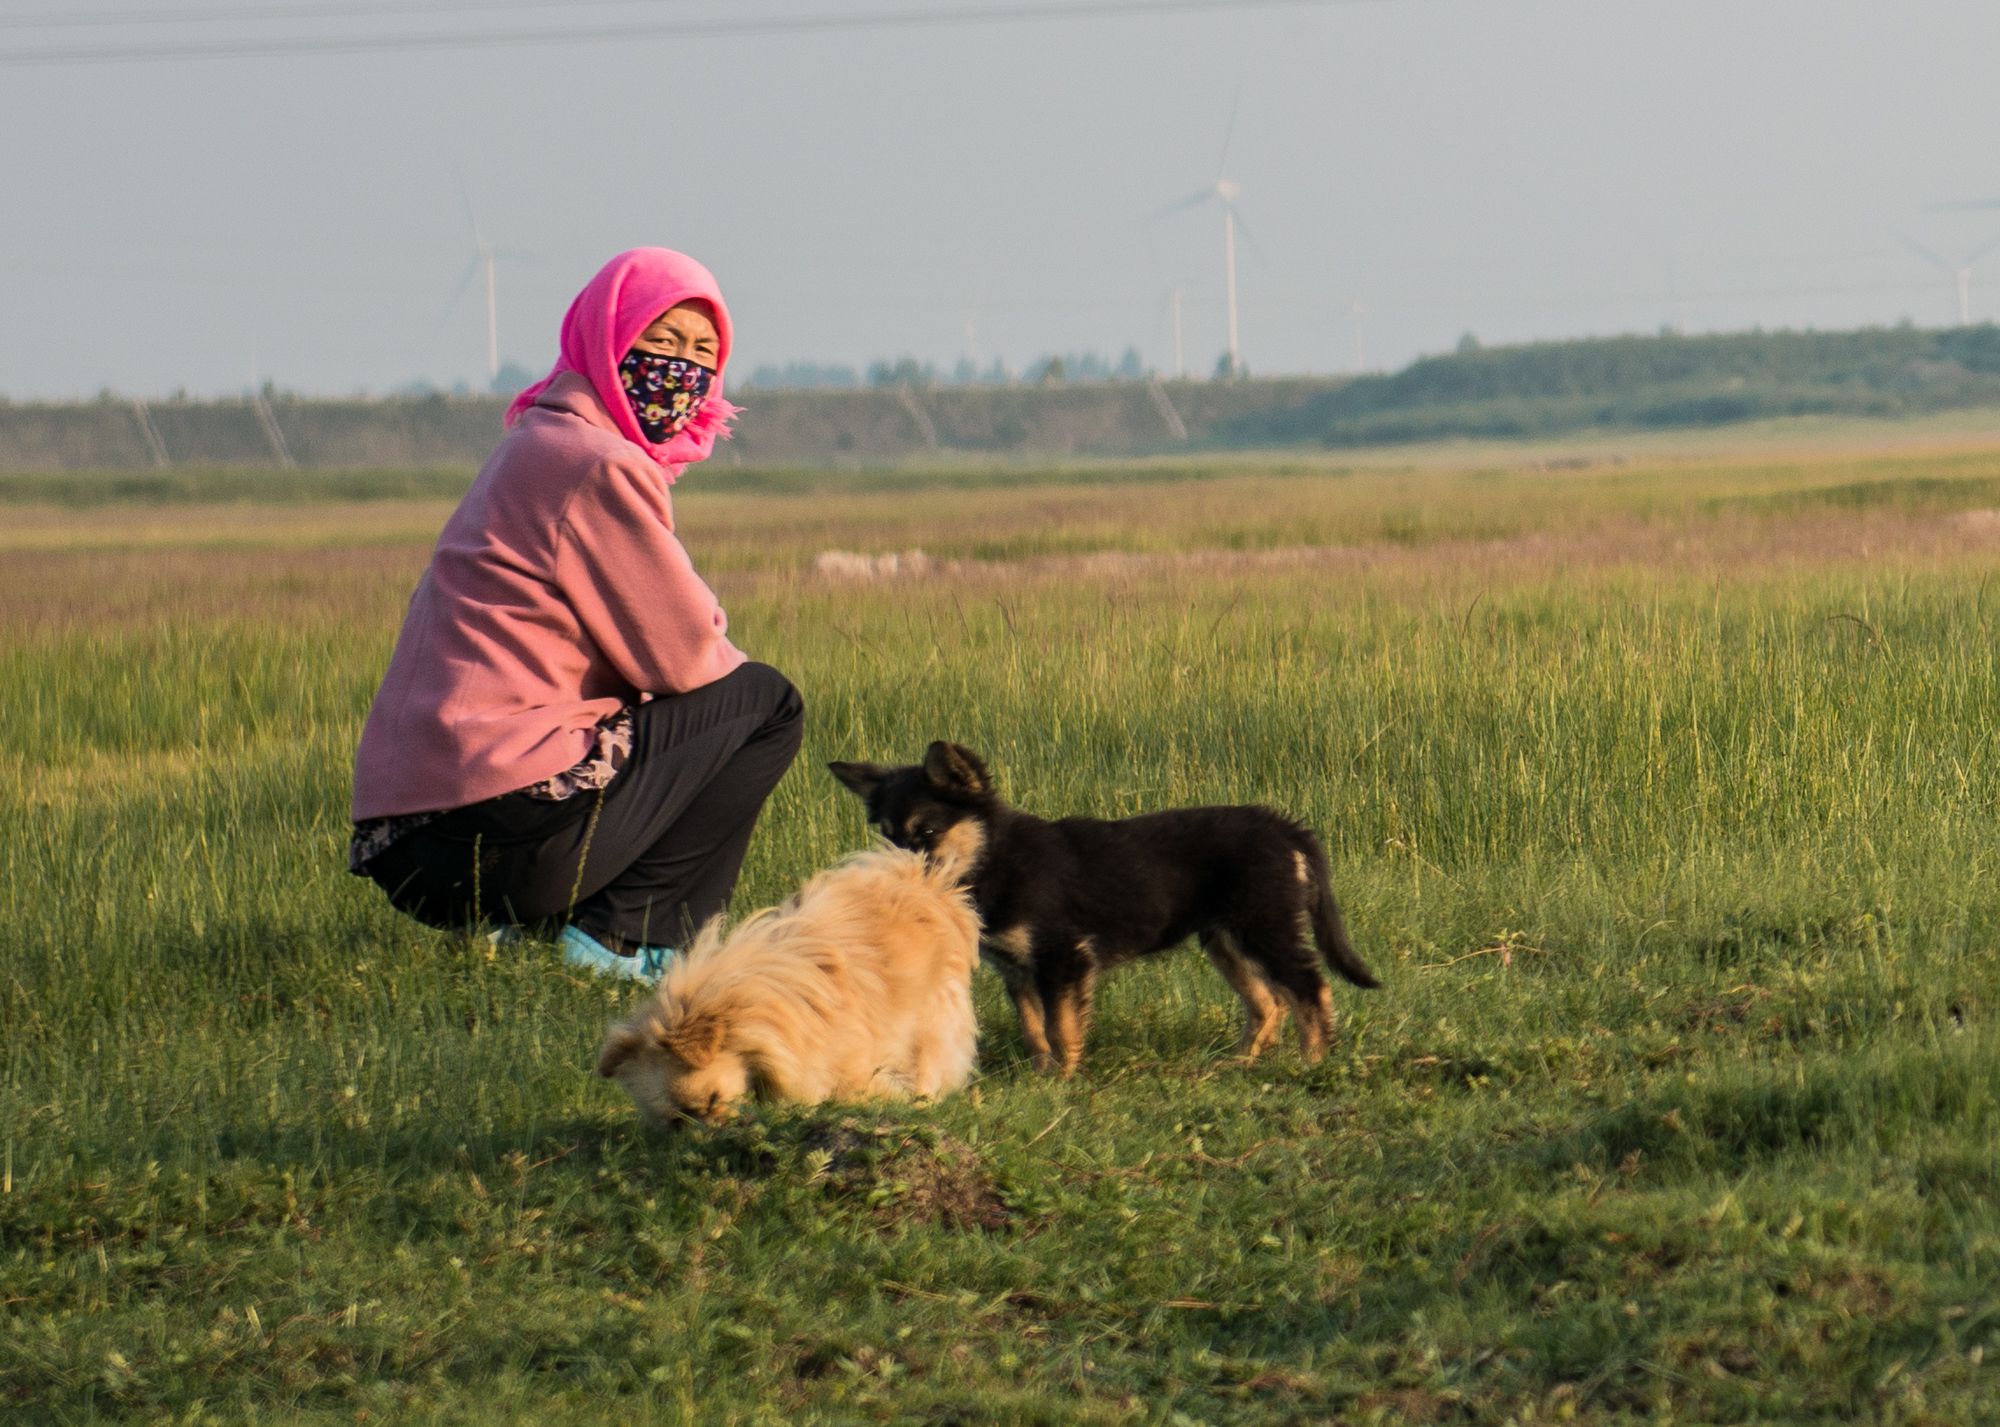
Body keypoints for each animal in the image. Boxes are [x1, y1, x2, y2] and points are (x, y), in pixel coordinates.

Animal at [828, 743, 1376, 1071]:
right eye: (888, 836)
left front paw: (1063, 1079)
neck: (993, 857)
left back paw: (1312, 1059)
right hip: (1226, 938)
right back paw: (1237, 1061)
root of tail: (1285, 827)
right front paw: (1042, 1074)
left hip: (1264, 927)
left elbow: (1059, 1024)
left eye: (926, 833)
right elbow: (1034, 1029)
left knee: (1309, 987)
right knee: (1267, 1002)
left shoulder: (1062, 957)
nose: (889, 884)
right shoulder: (1018, 970)